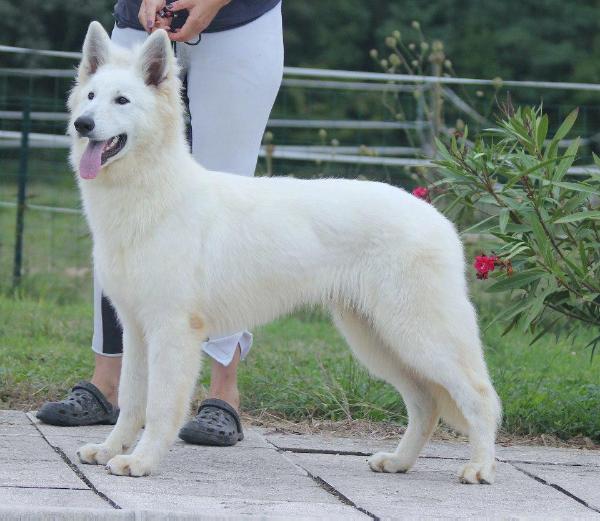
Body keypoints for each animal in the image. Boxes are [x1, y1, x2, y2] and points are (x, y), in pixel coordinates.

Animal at [70, 21, 502, 484]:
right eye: (91, 96)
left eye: (122, 100)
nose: (82, 123)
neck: (151, 193)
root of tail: (439, 219)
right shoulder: (136, 330)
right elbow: (132, 401)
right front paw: (111, 449)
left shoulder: (172, 331)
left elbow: (159, 406)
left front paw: (142, 461)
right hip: (377, 340)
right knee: (426, 403)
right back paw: (399, 462)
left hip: (418, 335)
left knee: (479, 396)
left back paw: (479, 468)